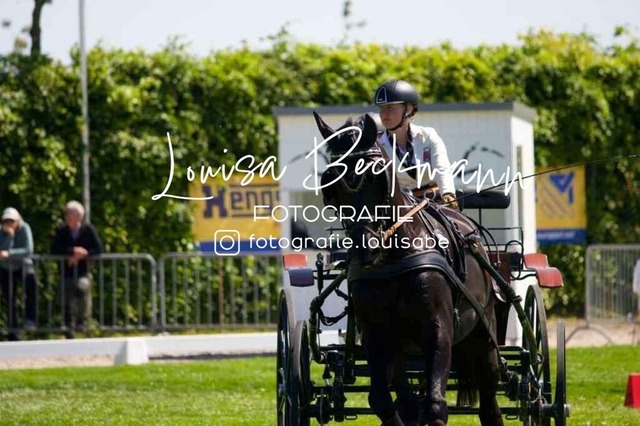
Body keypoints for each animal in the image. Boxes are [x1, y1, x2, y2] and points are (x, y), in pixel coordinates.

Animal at [314, 112, 504, 426]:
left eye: (374, 175)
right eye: (330, 186)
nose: (365, 248)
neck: (394, 259)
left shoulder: (438, 328)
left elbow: (435, 403)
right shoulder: (376, 335)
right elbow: (381, 400)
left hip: (482, 334)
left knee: (489, 403)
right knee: (406, 397)